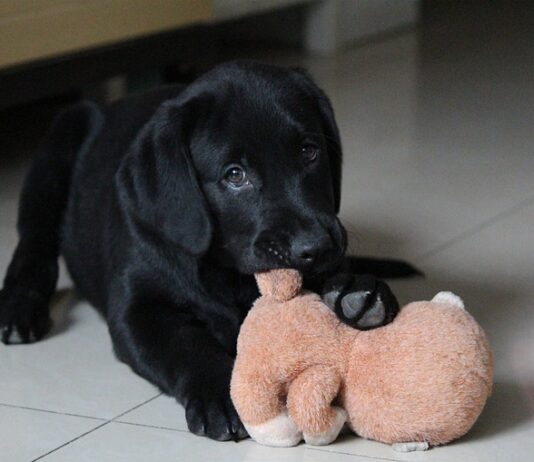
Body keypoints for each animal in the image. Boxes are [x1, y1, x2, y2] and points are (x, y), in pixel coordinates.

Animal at [0, 60, 412, 440]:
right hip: (58, 143)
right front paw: (223, 396)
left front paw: (357, 289)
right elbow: (186, 344)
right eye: (234, 175)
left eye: (310, 152)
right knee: (34, 247)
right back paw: (20, 309)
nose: (317, 247)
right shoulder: (137, 310)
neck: (226, 274)